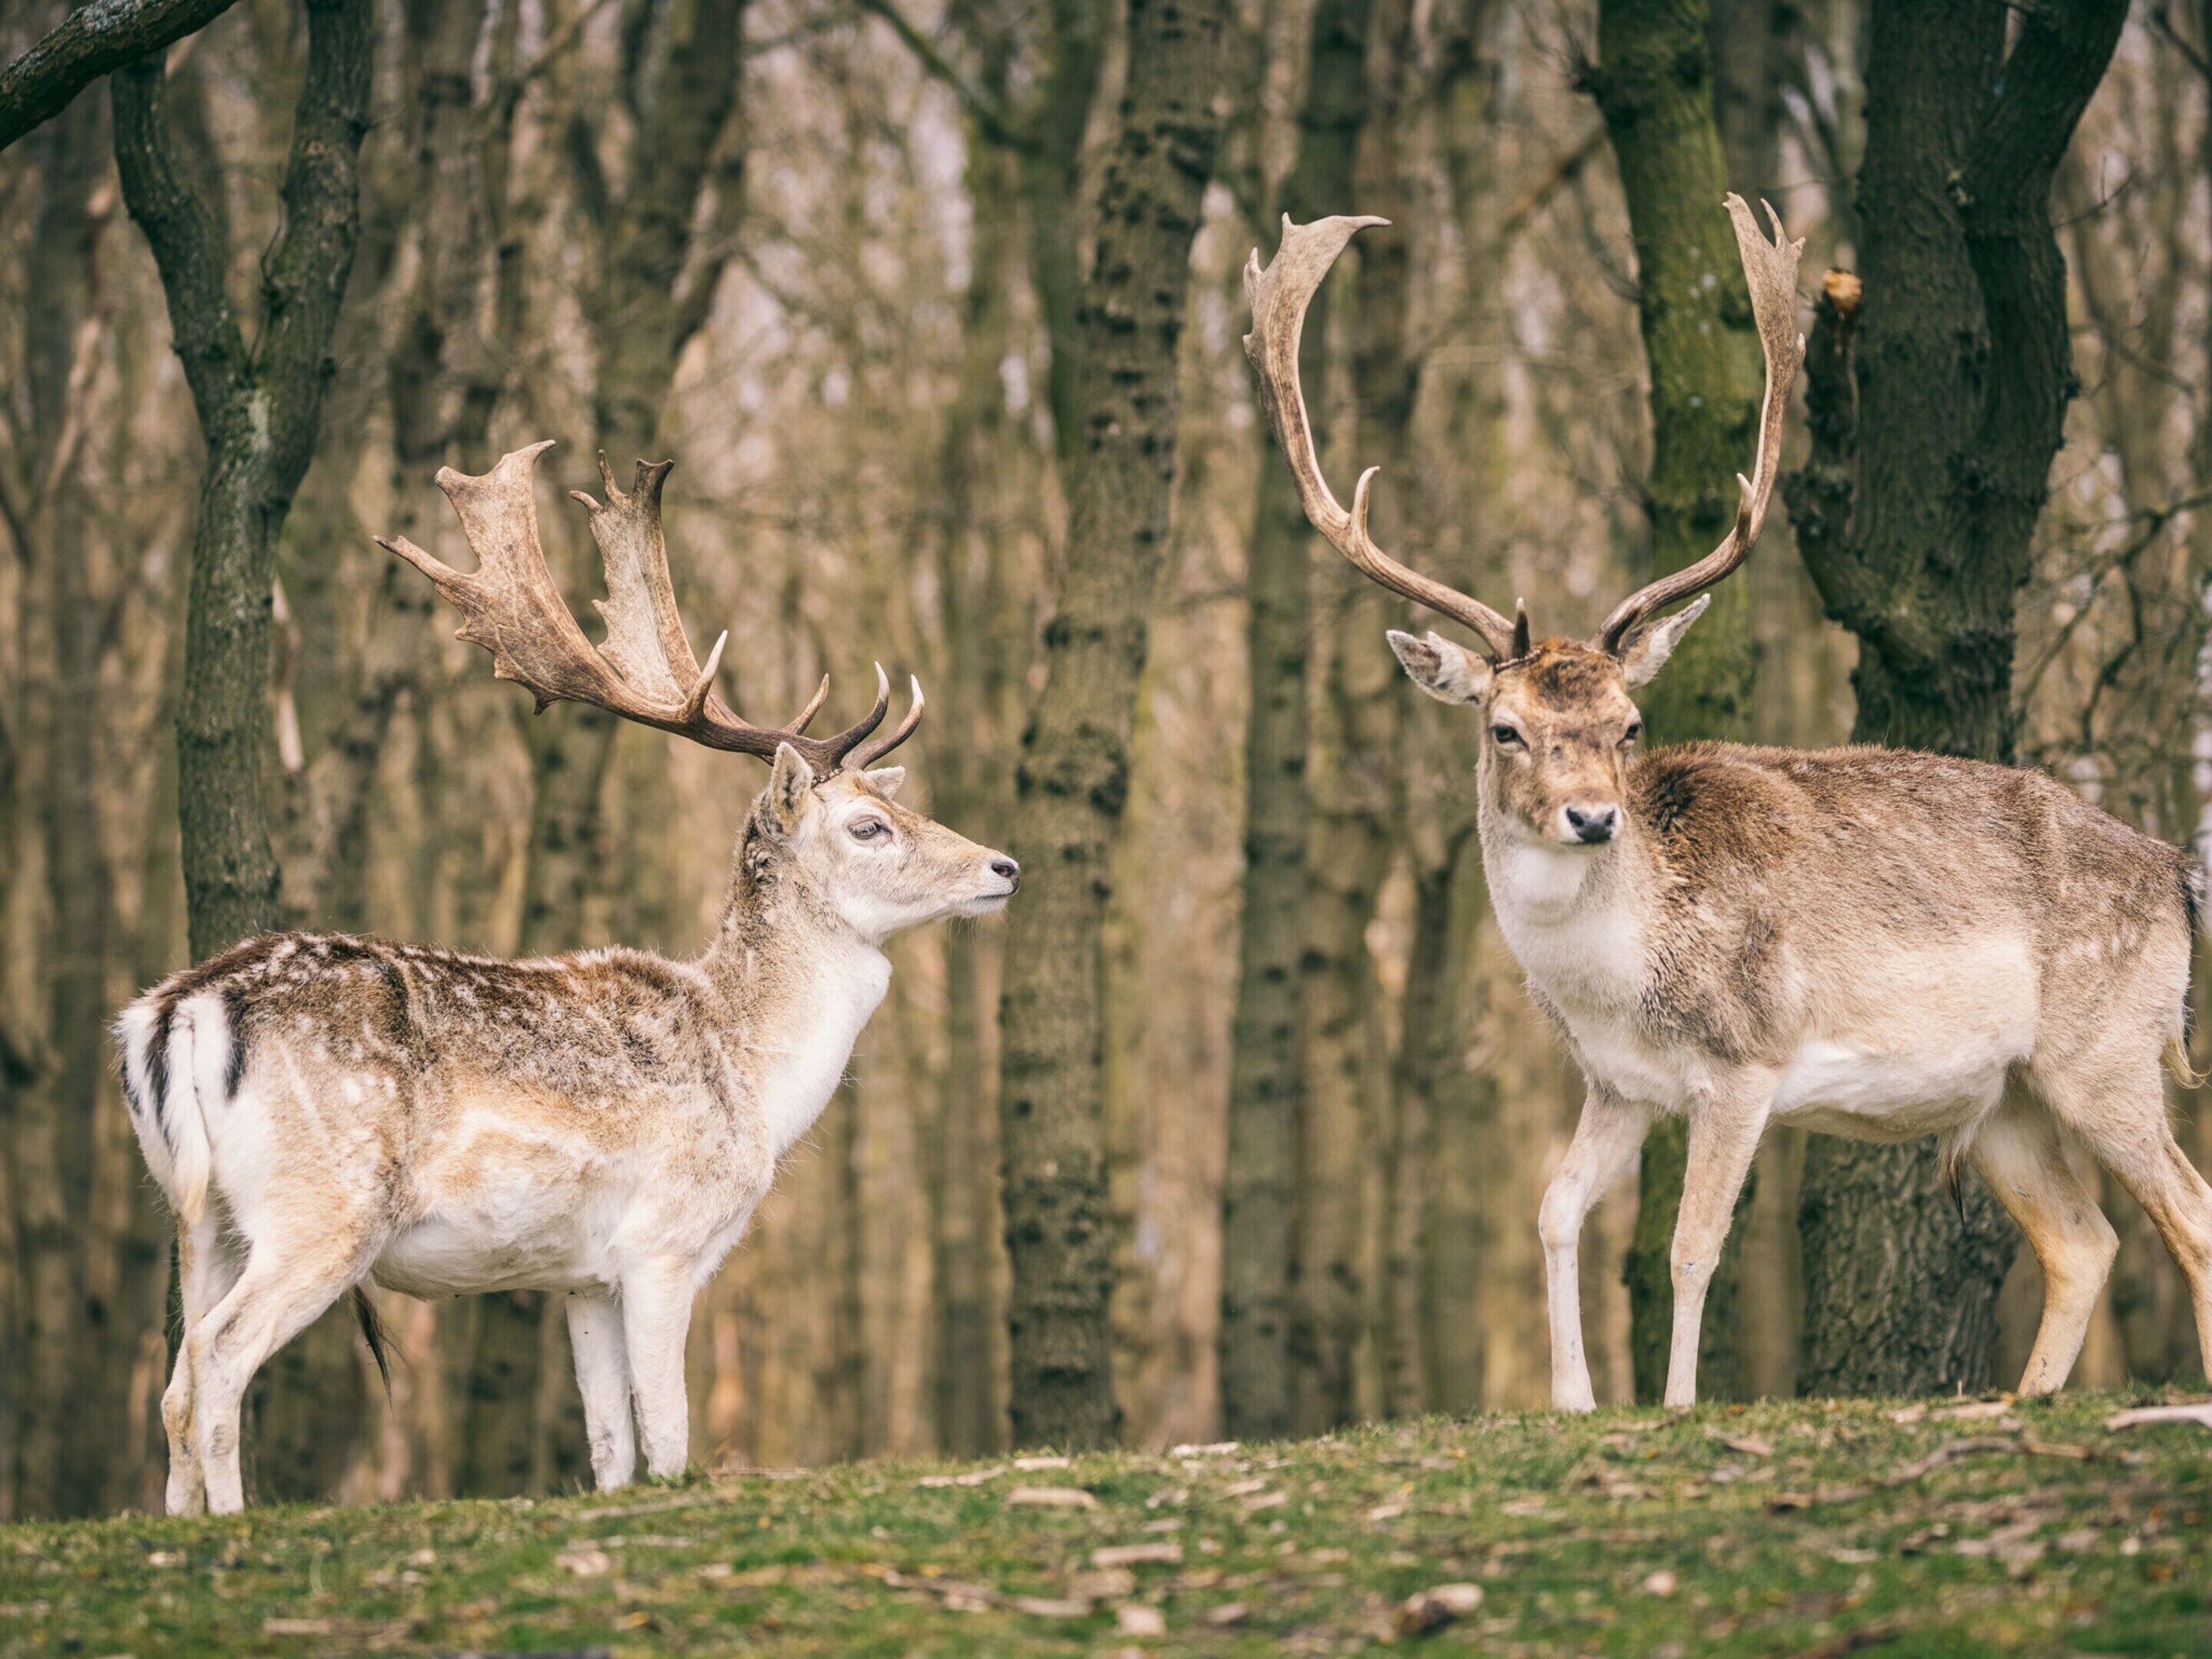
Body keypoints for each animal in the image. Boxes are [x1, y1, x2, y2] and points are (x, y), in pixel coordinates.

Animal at [117, 441, 1020, 1515]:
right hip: (322, 1205)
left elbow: (609, 1451)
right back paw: (238, 1524)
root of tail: (177, 1012)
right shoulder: (663, 1243)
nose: (1004, 866)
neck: (755, 1085)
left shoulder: (578, 1277)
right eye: (870, 826)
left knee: (172, 1381)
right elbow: (668, 1440)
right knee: (217, 1363)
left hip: (199, 1211)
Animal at [1245, 198, 2212, 1412]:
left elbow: (1691, 1247)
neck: (1622, 980)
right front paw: (1572, 1402)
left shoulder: (1746, 1067)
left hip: (2109, 1048)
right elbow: (1554, 1213)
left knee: (2191, 1214)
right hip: (2007, 1099)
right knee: (2087, 1242)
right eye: (1503, 727)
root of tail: (2178, 872)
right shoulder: (1618, 1084)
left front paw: (1673, 1405)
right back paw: (2028, 1397)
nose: (1593, 818)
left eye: (1629, 725)